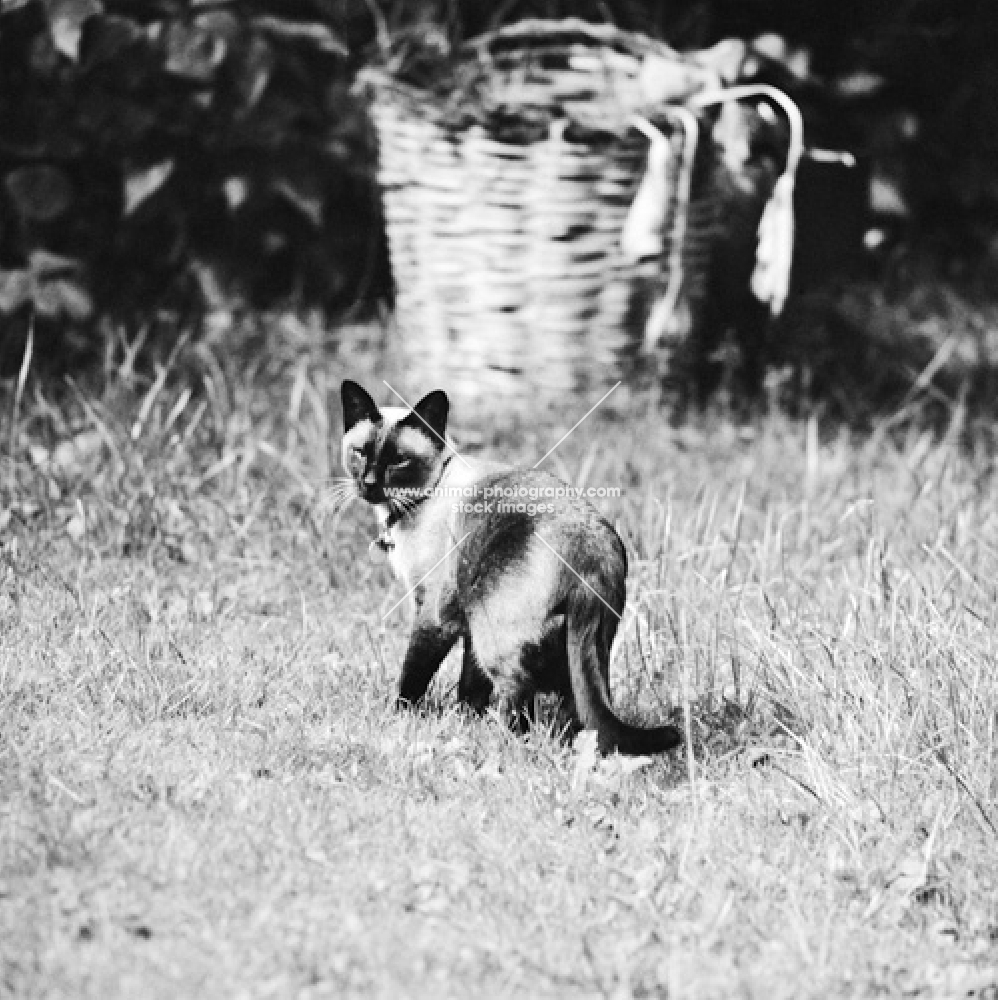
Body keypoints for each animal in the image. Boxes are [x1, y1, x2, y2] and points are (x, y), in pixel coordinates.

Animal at [340, 378, 684, 752]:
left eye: (399, 461)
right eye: (360, 453)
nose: (369, 484)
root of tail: (589, 548)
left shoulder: (435, 615)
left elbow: (412, 678)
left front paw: (400, 721)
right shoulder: (467, 623)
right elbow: (470, 686)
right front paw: (464, 721)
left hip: (495, 635)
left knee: (518, 691)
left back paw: (500, 742)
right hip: (575, 648)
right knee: (579, 710)